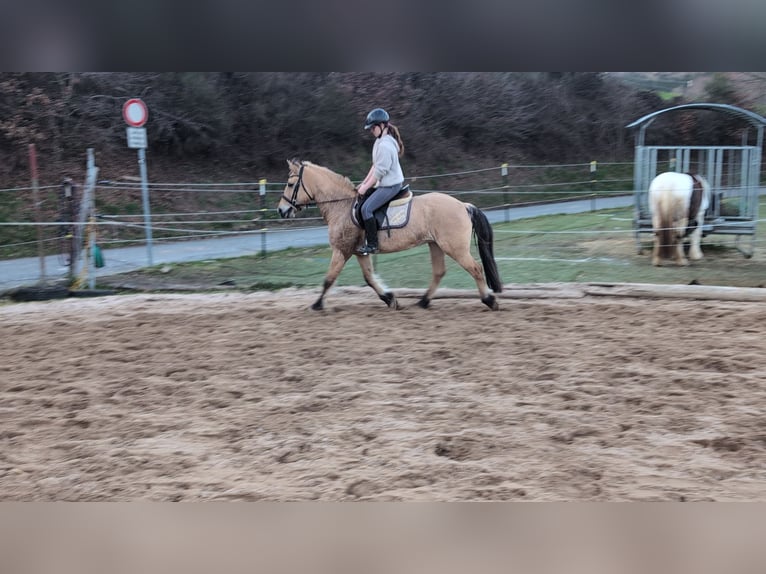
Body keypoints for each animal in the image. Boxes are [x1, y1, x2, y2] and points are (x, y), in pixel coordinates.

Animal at [277, 159, 503, 311]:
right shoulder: (360, 252)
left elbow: (329, 278)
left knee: (475, 269)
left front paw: (316, 304)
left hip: (454, 247)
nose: (281, 210)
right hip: (436, 245)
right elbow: (369, 278)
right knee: (439, 272)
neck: (341, 206)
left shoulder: (341, 250)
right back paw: (423, 301)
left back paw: (489, 300)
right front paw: (389, 298)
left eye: (290, 184)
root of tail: (463, 205)